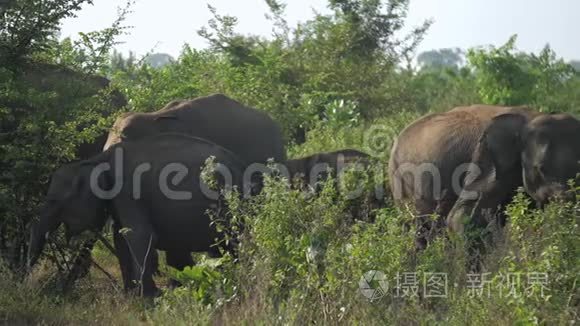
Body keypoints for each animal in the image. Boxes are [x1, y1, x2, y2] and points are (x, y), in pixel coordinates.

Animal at [28, 134, 251, 296]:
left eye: (55, 202)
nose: (27, 283)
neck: (95, 160)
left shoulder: (128, 191)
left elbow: (139, 236)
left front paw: (149, 298)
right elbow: (121, 239)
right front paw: (132, 296)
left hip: (231, 203)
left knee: (237, 242)